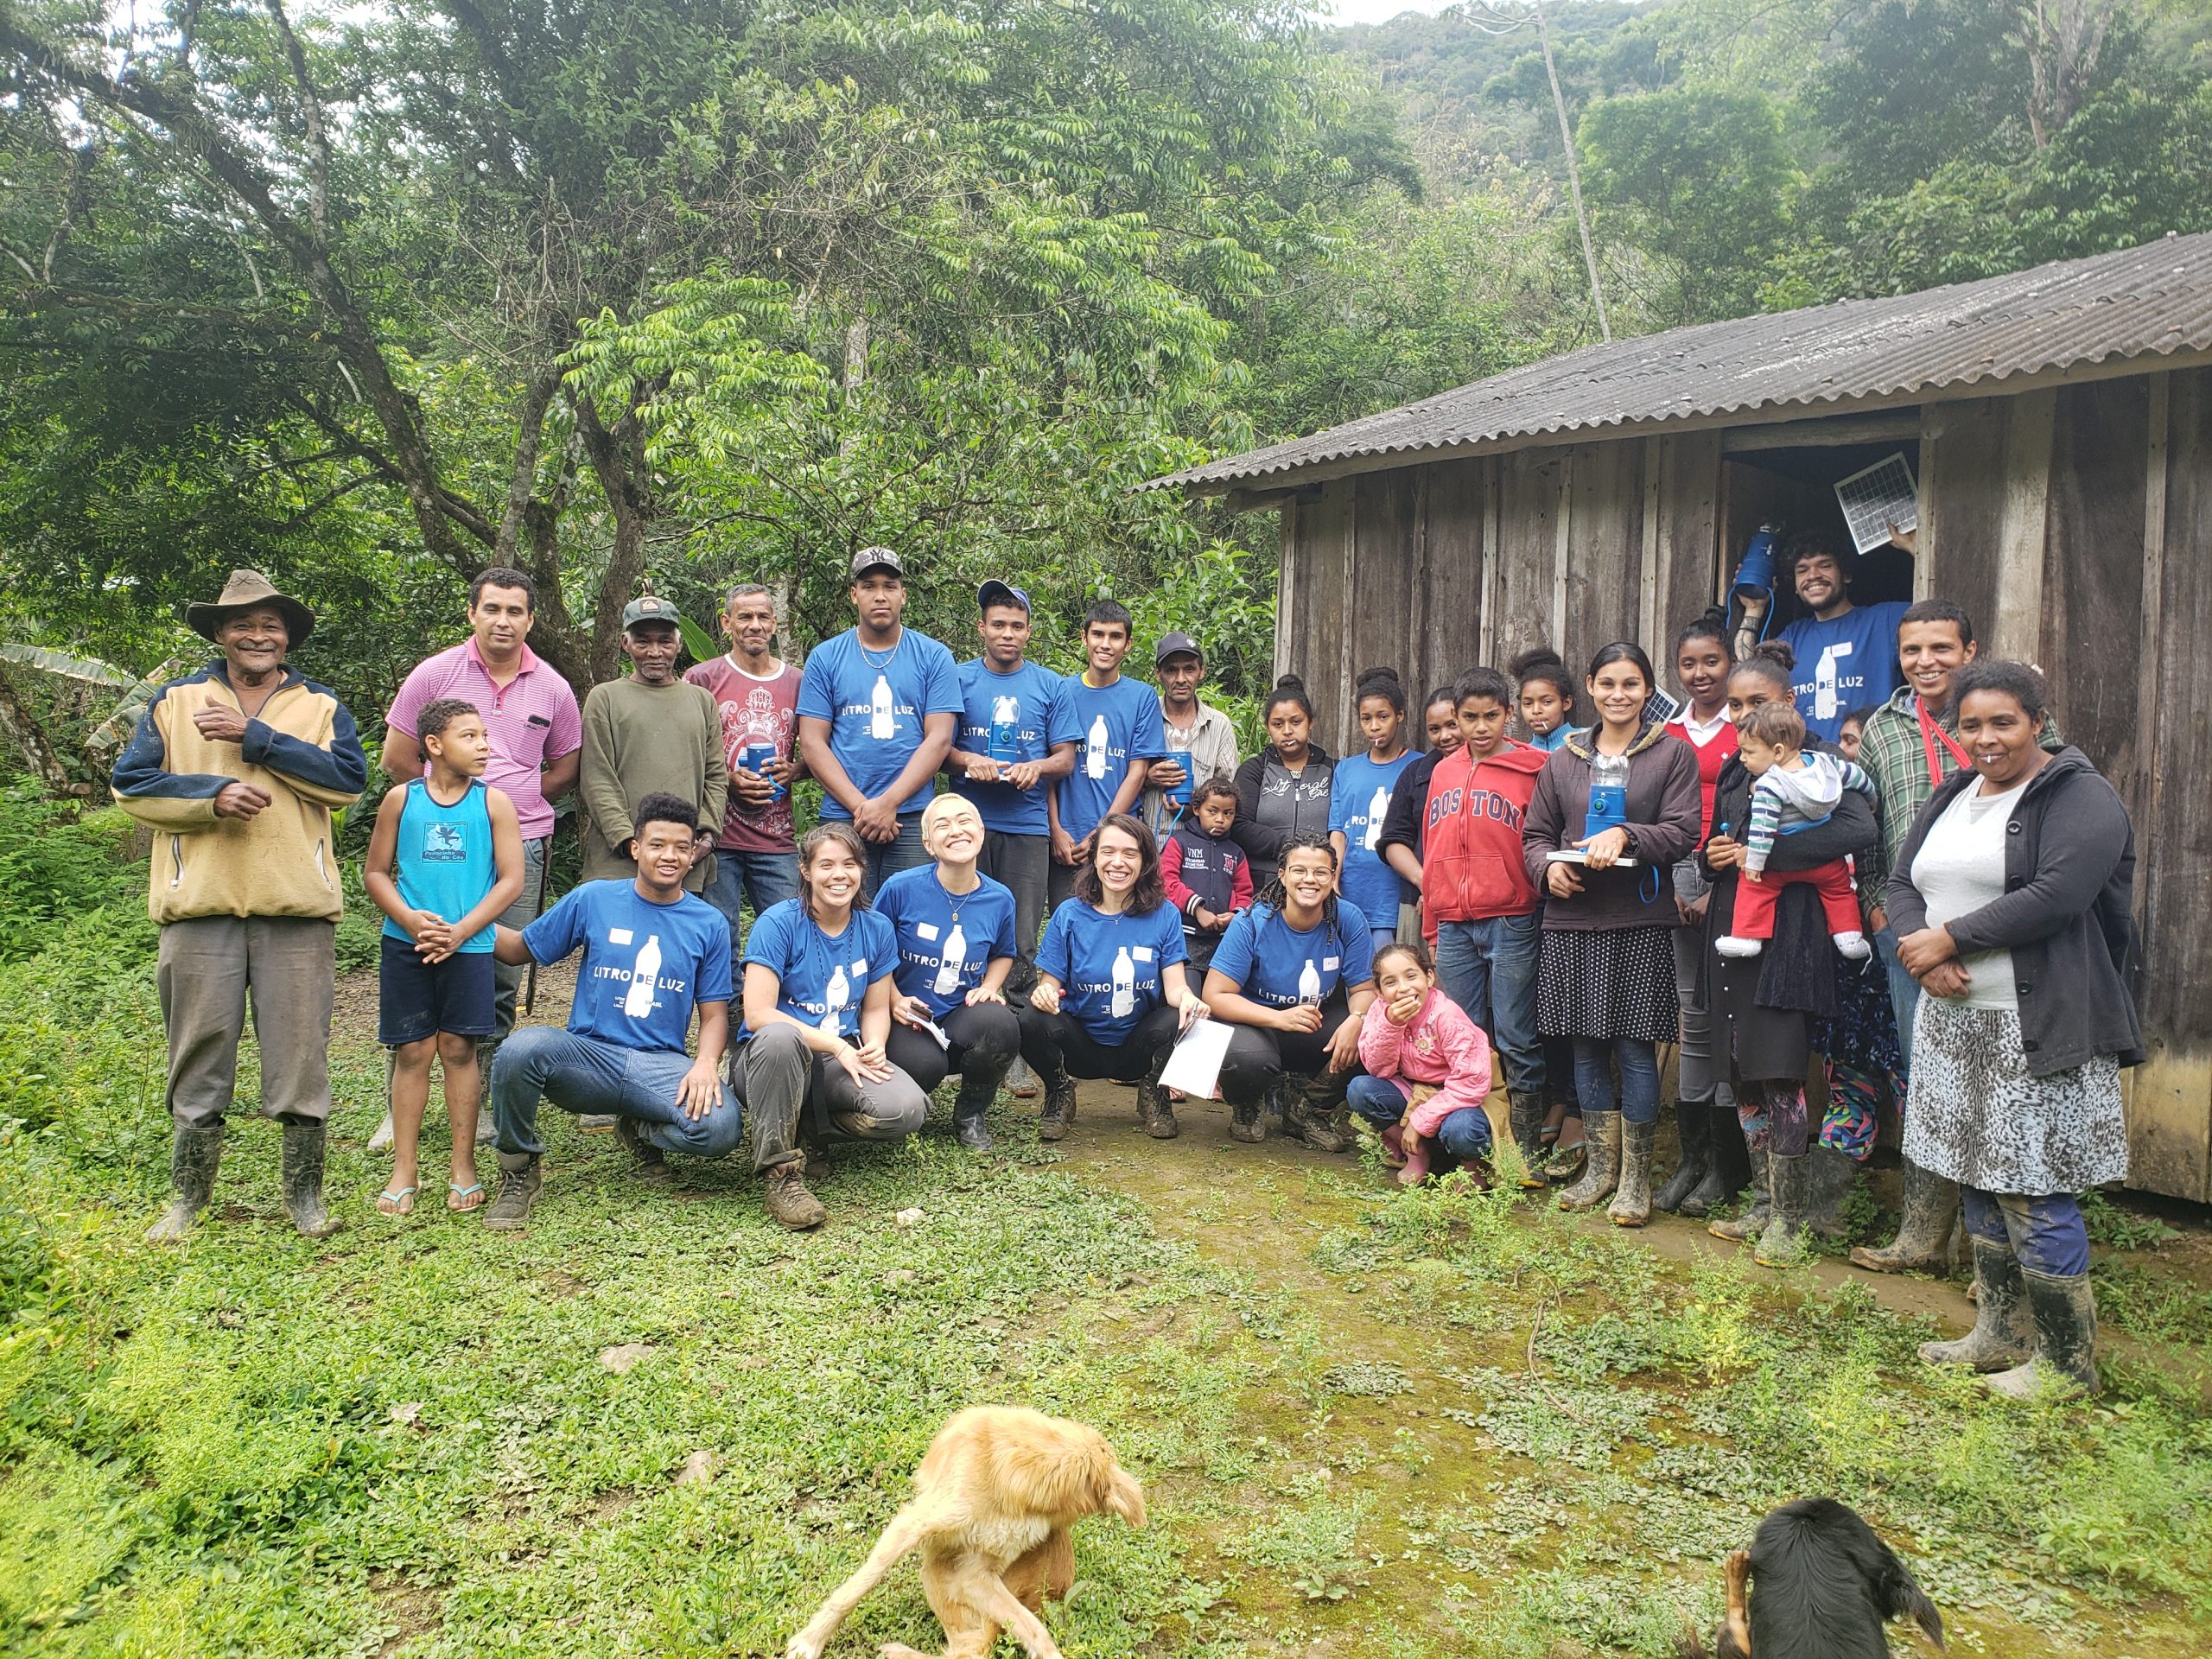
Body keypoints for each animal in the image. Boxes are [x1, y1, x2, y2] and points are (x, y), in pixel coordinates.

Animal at [783, 1407, 1141, 1659]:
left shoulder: (975, 1574)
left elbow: (1032, 1627)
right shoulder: (912, 1526)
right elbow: (854, 1590)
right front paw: (810, 1641)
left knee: (970, 1649)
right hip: (935, 1568)